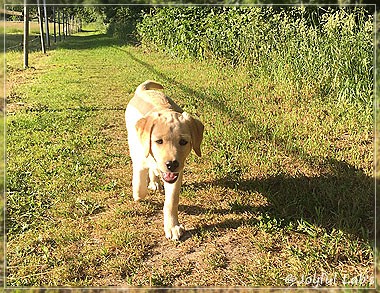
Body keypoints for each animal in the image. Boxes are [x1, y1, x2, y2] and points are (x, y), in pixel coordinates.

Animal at [124, 80, 203, 240]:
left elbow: (171, 201)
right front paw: (138, 193)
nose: (171, 164)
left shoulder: (176, 175)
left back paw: (155, 180)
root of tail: (143, 90)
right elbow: (140, 189)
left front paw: (172, 226)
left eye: (183, 142)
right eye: (158, 141)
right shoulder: (140, 162)